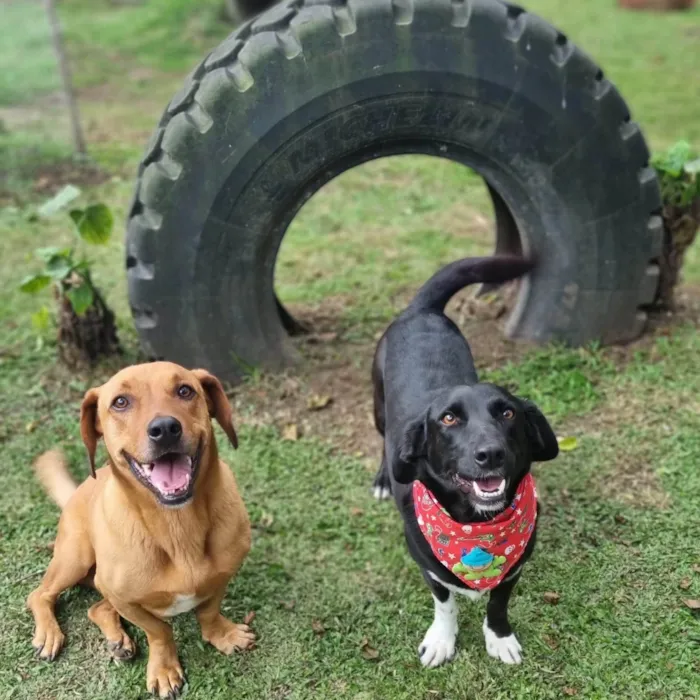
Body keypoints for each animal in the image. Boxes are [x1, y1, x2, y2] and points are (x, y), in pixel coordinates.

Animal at [29, 364, 258, 696]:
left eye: (185, 390)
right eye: (120, 402)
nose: (165, 429)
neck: (177, 526)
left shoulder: (223, 575)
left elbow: (208, 611)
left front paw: (222, 634)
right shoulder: (124, 598)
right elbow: (159, 630)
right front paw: (164, 668)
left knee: (96, 608)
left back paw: (117, 640)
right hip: (75, 559)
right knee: (40, 594)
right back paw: (49, 632)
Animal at [372, 258, 556, 668]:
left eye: (507, 413)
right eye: (449, 419)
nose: (490, 453)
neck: (476, 526)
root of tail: (421, 309)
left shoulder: (515, 566)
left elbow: (498, 603)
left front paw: (499, 638)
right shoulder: (429, 565)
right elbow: (445, 603)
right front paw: (441, 640)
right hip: (378, 406)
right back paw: (382, 479)